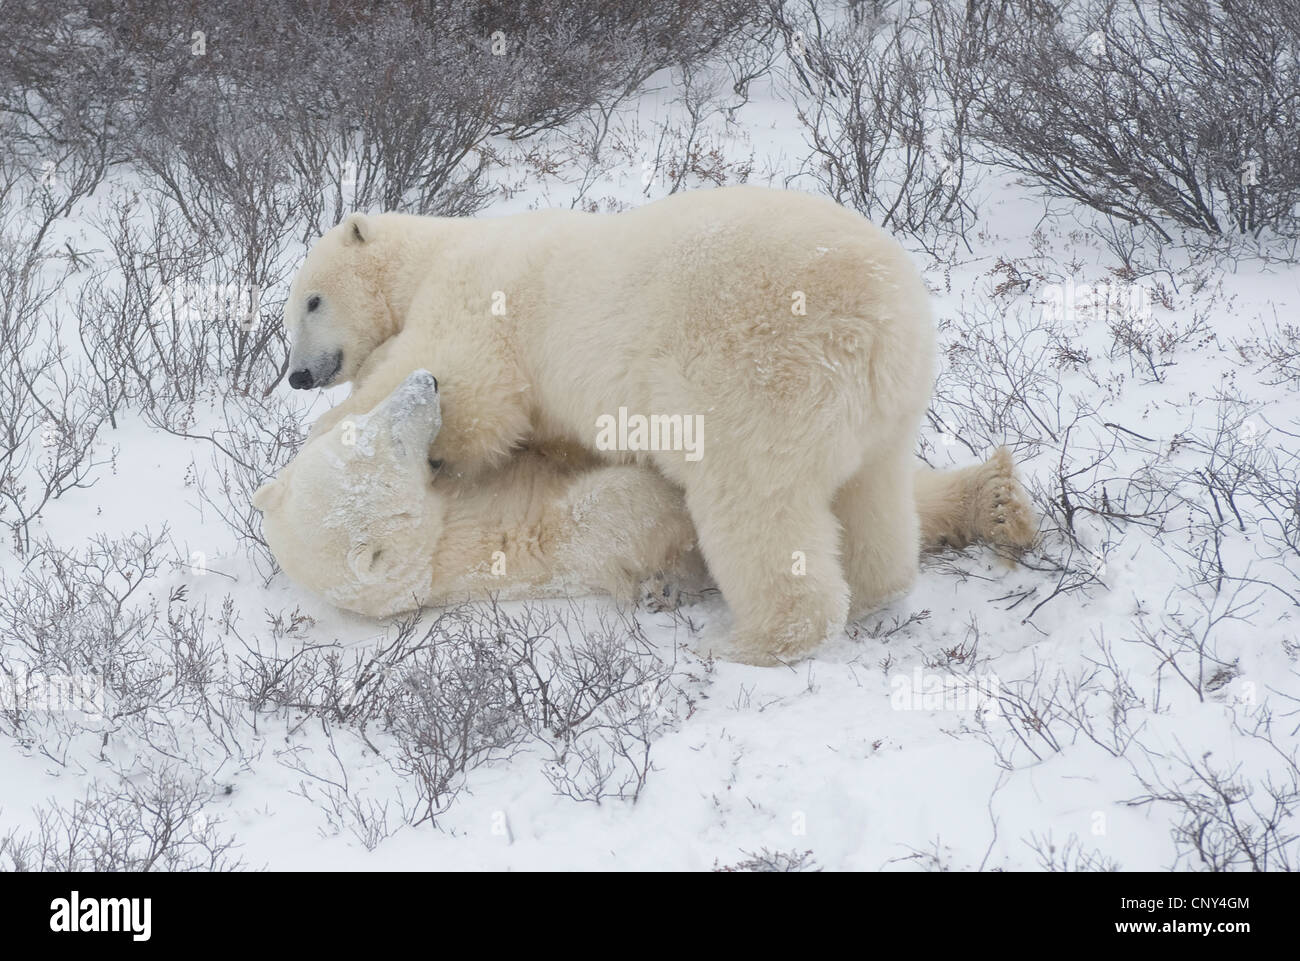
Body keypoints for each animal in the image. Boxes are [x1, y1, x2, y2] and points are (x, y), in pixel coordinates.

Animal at [254, 371, 1037, 626]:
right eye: (381, 442)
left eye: (359, 425)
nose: (426, 381)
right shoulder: (529, 540)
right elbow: (623, 508)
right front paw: (664, 569)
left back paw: (998, 499)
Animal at [282, 186, 962, 663]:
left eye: (311, 300)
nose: (296, 376)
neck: (438, 251)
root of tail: (879, 322)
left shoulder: (477, 299)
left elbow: (462, 385)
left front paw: (332, 436)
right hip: (887, 406)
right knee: (874, 493)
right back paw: (876, 590)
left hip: (760, 378)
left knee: (752, 504)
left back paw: (751, 641)